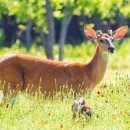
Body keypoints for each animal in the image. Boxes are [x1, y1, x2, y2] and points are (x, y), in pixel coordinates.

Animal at [0, 25, 128, 98]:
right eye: (101, 40)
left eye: (112, 39)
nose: (111, 48)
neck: (88, 73)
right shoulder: (75, 92)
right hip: (11, 84)